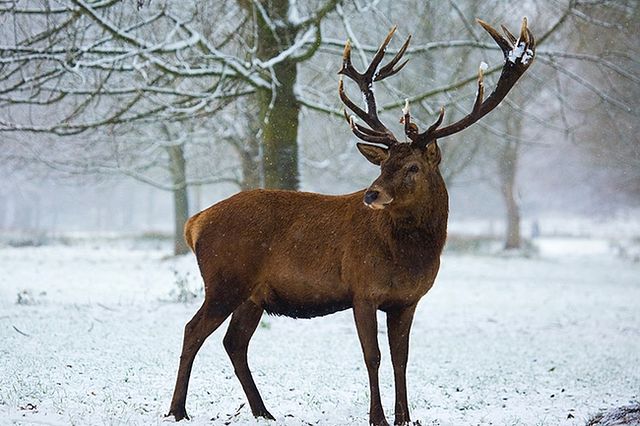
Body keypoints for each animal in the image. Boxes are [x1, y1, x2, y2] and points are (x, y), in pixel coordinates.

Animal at [166, 17, 536, 426]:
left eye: (412, 167)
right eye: (383, 164)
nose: (372, 194)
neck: (410, 257)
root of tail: (194, 223)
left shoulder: (407, 300)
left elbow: (402, 359)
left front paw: (405, 417)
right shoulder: (363, 289)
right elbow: (372, 357)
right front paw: (378, 417)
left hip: (253, 294)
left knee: (234, 342)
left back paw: (263, 411)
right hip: (224, 280)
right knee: (192, 330)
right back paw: (178, 409)